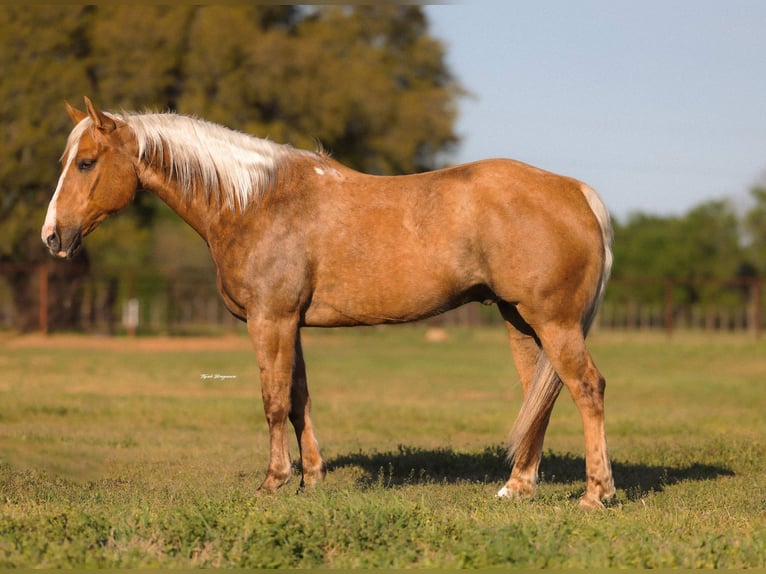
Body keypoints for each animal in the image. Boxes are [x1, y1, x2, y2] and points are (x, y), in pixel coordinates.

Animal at [42, 97, 615, 509]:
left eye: (87, 162)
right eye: (67, 161)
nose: (52, 237)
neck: (255, 202)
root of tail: (576, 192)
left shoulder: (269, 320)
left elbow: (273, 402)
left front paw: (273, 482)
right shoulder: (290, 324)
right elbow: (299, 400)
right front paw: (311, 479)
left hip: (554, 322)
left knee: (587, 388)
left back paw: (595, 494)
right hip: (521, 322)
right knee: (541, 397)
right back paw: (518, 487)